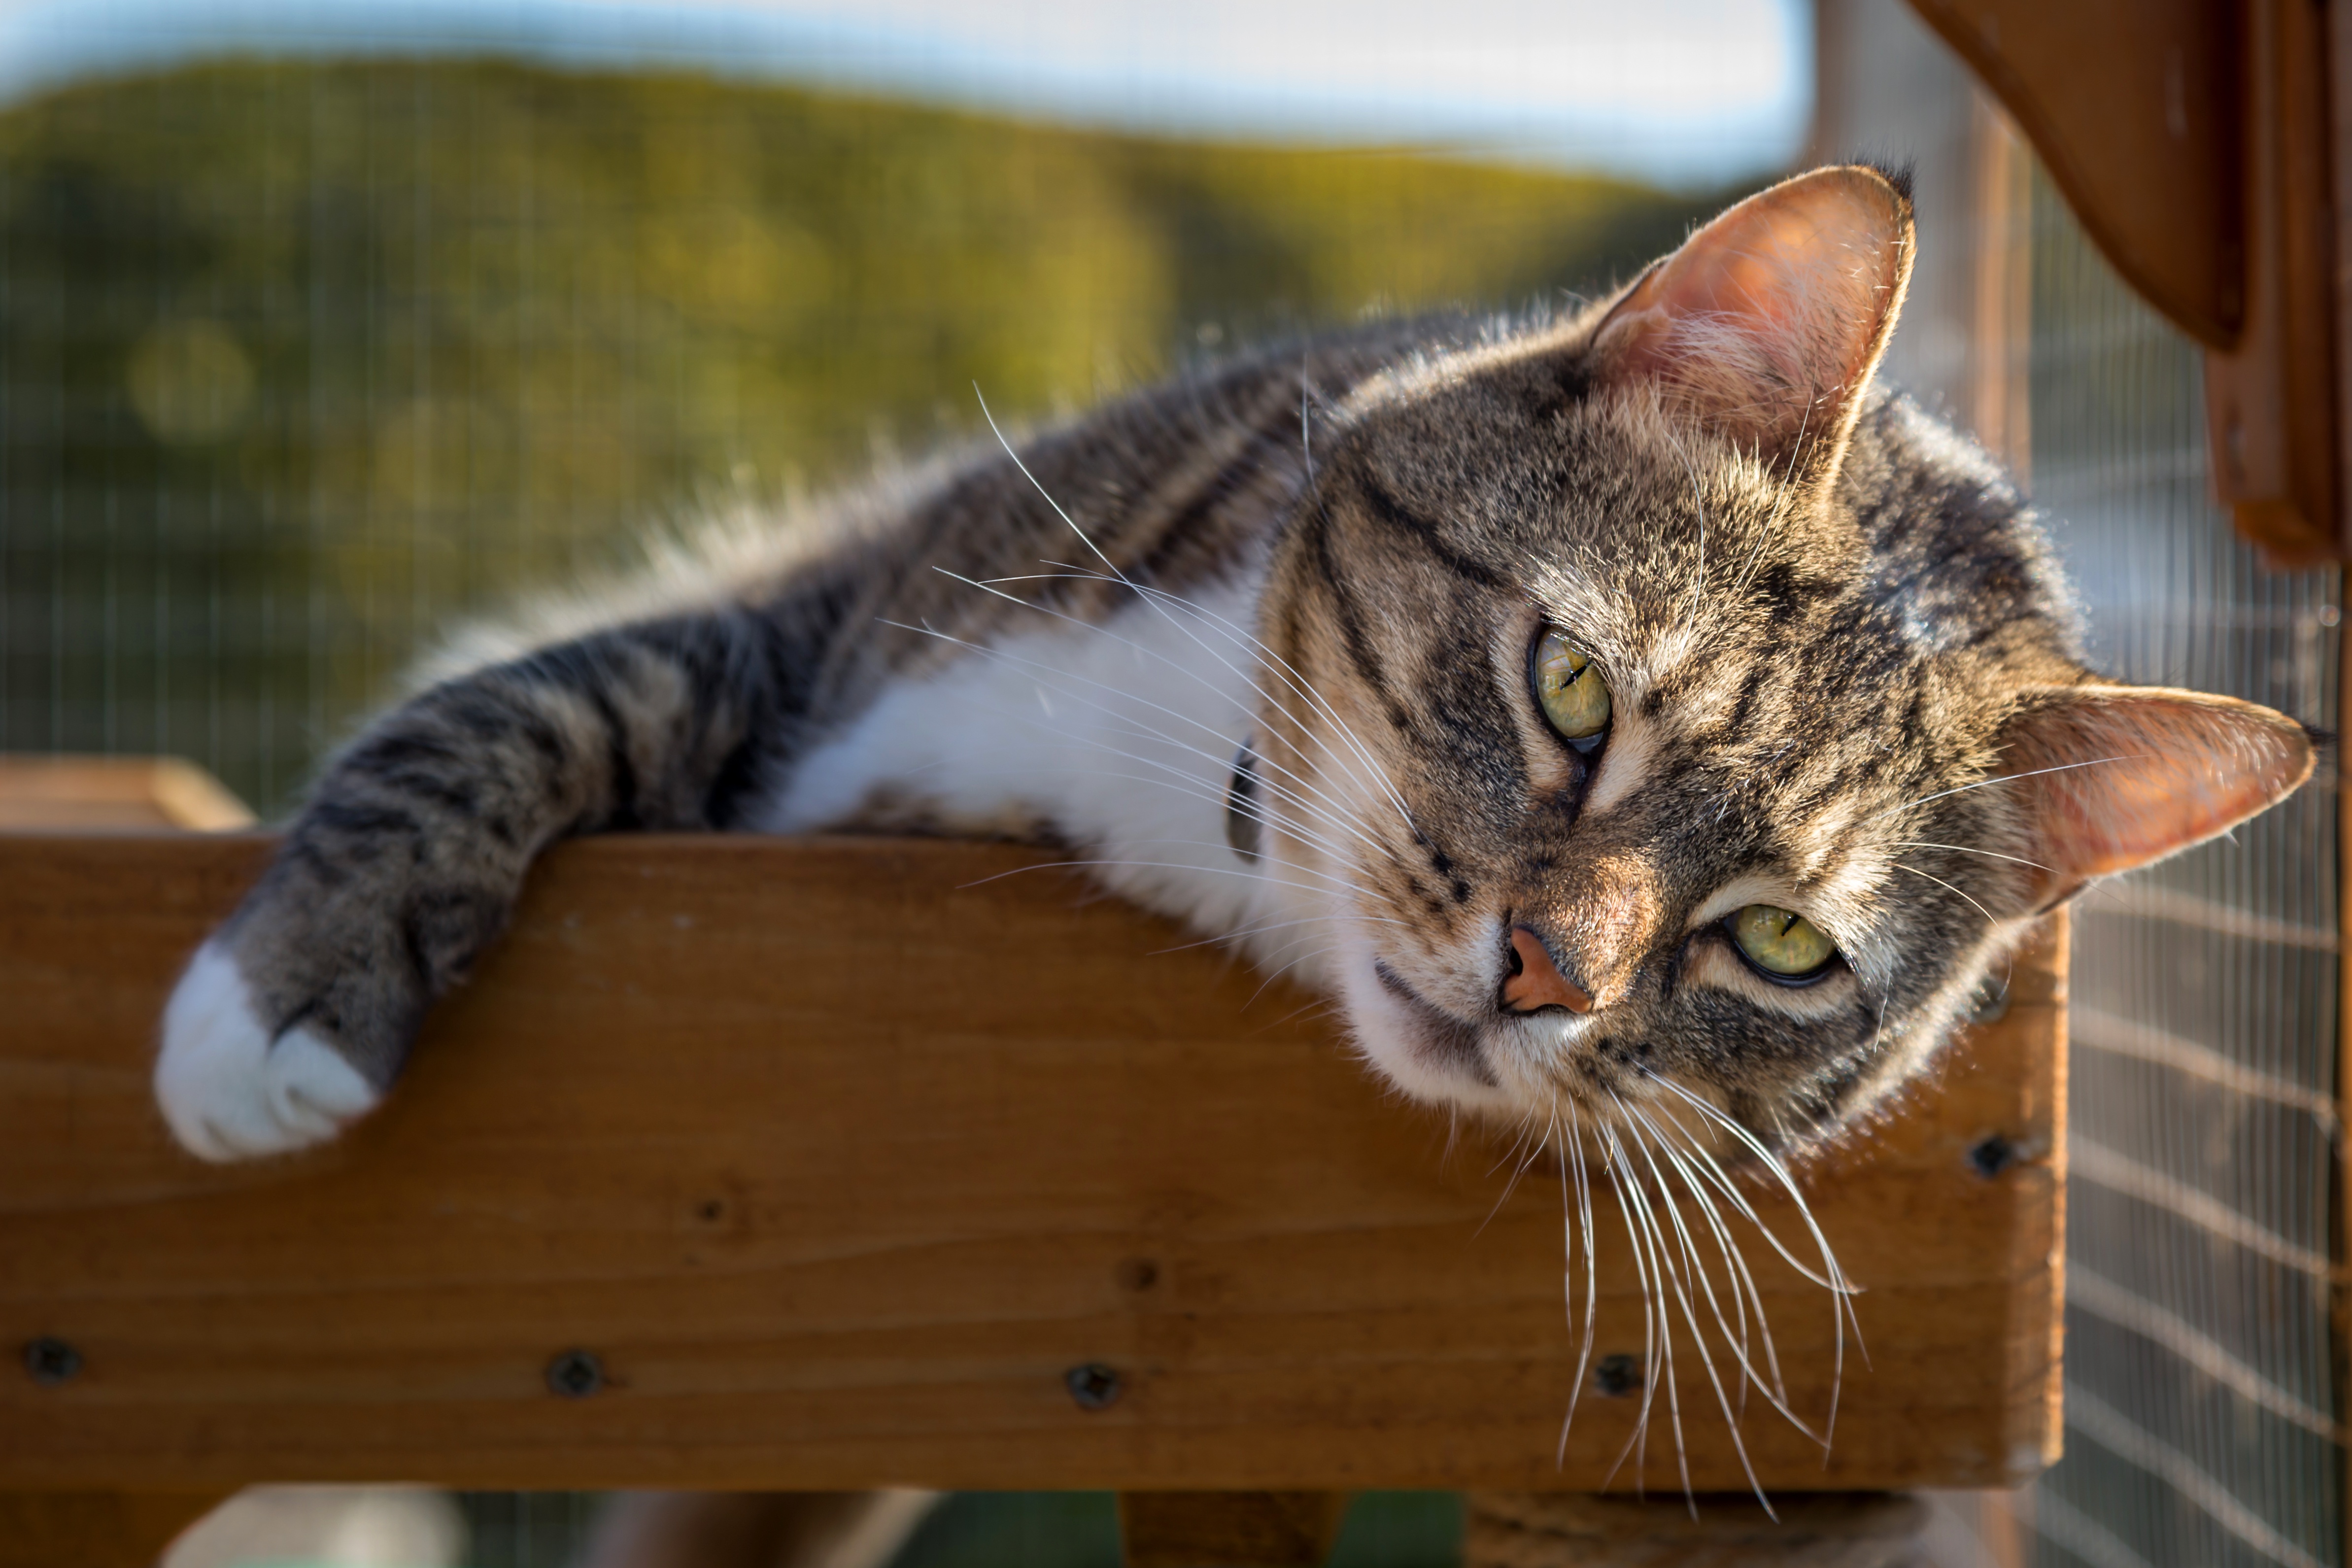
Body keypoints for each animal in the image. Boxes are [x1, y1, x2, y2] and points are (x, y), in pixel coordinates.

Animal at [156, 162, 2305, 1213]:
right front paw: (276, 1000)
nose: (1541, 978)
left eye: (1777, 942)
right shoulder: (840, 619)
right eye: (1574, 690)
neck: (1185, 808)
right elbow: (527, 703)